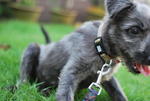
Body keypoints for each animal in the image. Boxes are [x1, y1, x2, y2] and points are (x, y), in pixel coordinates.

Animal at [18, 0, 150, 100]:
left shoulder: (105, 77)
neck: (100, 47)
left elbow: (118, 92)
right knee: (23, 81)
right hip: (32, 48)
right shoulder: (70, 73)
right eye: (134, 30)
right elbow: (65, 94)